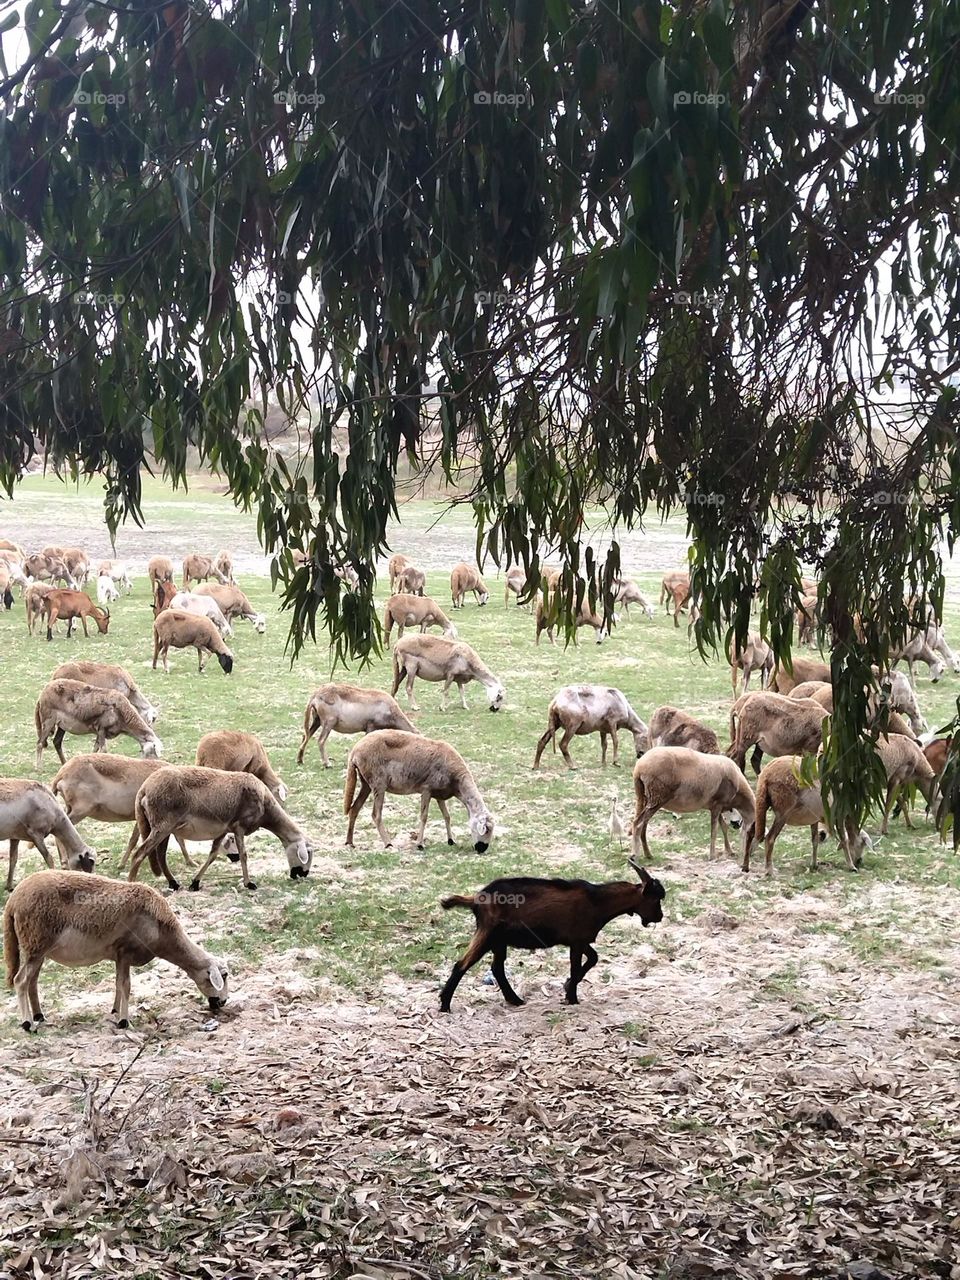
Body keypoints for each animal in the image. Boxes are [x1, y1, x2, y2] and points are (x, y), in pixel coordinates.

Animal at [4, 870, 229, 1029]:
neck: (163, 931)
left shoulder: (119, 956)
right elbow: (126, 985)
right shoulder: (126, 951)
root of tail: (13, 901)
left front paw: (115, 1011)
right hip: (35, 943)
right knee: (21, 980)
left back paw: (39, 1015)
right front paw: (124, 1021)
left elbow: (118, 984)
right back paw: (28, 1024)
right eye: (224, 976)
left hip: (35, 948)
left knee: (32, 982)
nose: (223, 1002)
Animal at [34, 680, 163, 768]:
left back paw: (64, 763)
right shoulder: (101, 729)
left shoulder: (99, 732)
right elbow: (103, 750)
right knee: (40, 743)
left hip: (62, 725)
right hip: (48, 720)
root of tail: (42, 695)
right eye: (154, 751)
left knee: (57, 742)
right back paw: (39, 767)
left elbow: (95, 748)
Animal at [126, 762, 313, 896]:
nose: (303, 875)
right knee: (139, 854)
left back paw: (173, 883)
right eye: (308, 854)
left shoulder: (223, 829)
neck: (266, 809)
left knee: (160, 856)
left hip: (163, 827)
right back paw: (132, 884)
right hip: (162, 825)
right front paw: (249, 883)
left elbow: (213, 855)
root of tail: (144, 788)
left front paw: (195, 882)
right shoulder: (239, 826)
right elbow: (244, 855)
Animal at [343, 732, 496, 849]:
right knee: (376, 815)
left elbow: (447, 816)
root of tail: (354, 751)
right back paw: (388, 843)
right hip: (378, 784)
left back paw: (350, 842)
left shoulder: (439, 794)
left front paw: (451, 840)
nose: (482, 849)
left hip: (366, 784)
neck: (457, 782)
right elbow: (424, 816)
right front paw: (420, 844)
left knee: (354, 809)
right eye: (486, 830)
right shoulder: (427, 789)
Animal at [440, 860, 665, 1008]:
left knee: (497, 968)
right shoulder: (577, 941)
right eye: (656, 899)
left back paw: (515, 1000)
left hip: (499, 940)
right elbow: (577, 965)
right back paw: (445, 1004)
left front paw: (567, 987)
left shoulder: (580, 939)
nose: (660, 916)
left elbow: (593, 958)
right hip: (488, 934)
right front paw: (572, 998)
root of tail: (477, 898)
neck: (597, 901)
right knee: (462, 964)